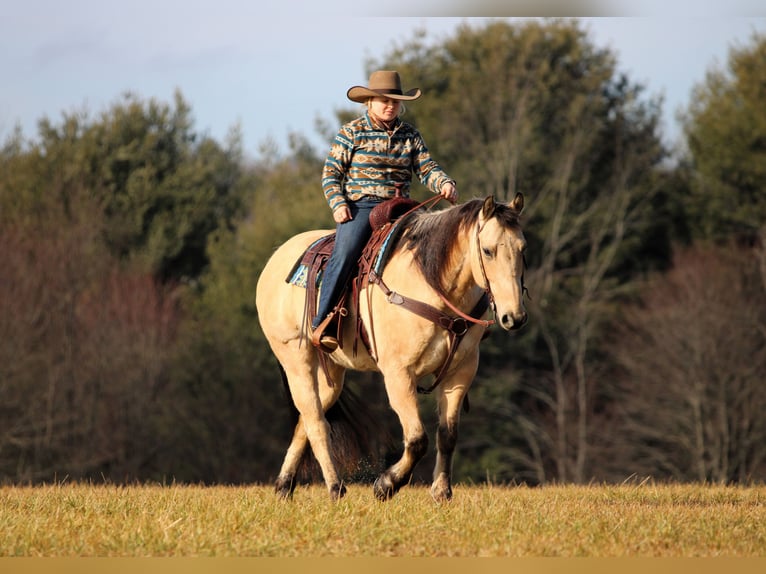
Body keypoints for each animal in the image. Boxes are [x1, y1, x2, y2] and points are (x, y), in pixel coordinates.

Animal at [255, 193, 527, 502]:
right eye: (488, 250)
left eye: (522, 249)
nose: (514, 317)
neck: (432, 283)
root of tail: (275, 260)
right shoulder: (399, 374)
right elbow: (417, 439)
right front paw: (387, 484)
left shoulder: (460, 372)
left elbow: (447, 435)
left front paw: (441, 492)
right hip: (296, 360)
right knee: (316, 423)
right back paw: (335, 488)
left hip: (331, 373)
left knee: (307, 419)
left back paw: (283, 486)